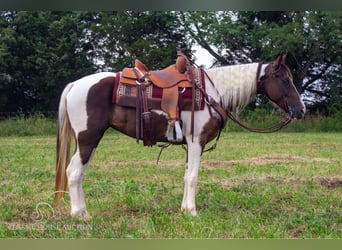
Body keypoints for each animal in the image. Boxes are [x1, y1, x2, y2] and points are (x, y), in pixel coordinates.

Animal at [54, 52, 308, 219]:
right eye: (286, 80)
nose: (301, 110)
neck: (212, 92)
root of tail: (75, 84)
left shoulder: (191, 144)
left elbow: (187, 176)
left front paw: (185, 209)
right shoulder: (197, 142)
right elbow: (193, 177)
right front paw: (193, 212)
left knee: (76, 173)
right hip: (88, 139)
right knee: (73, 173)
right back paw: (80, 215)